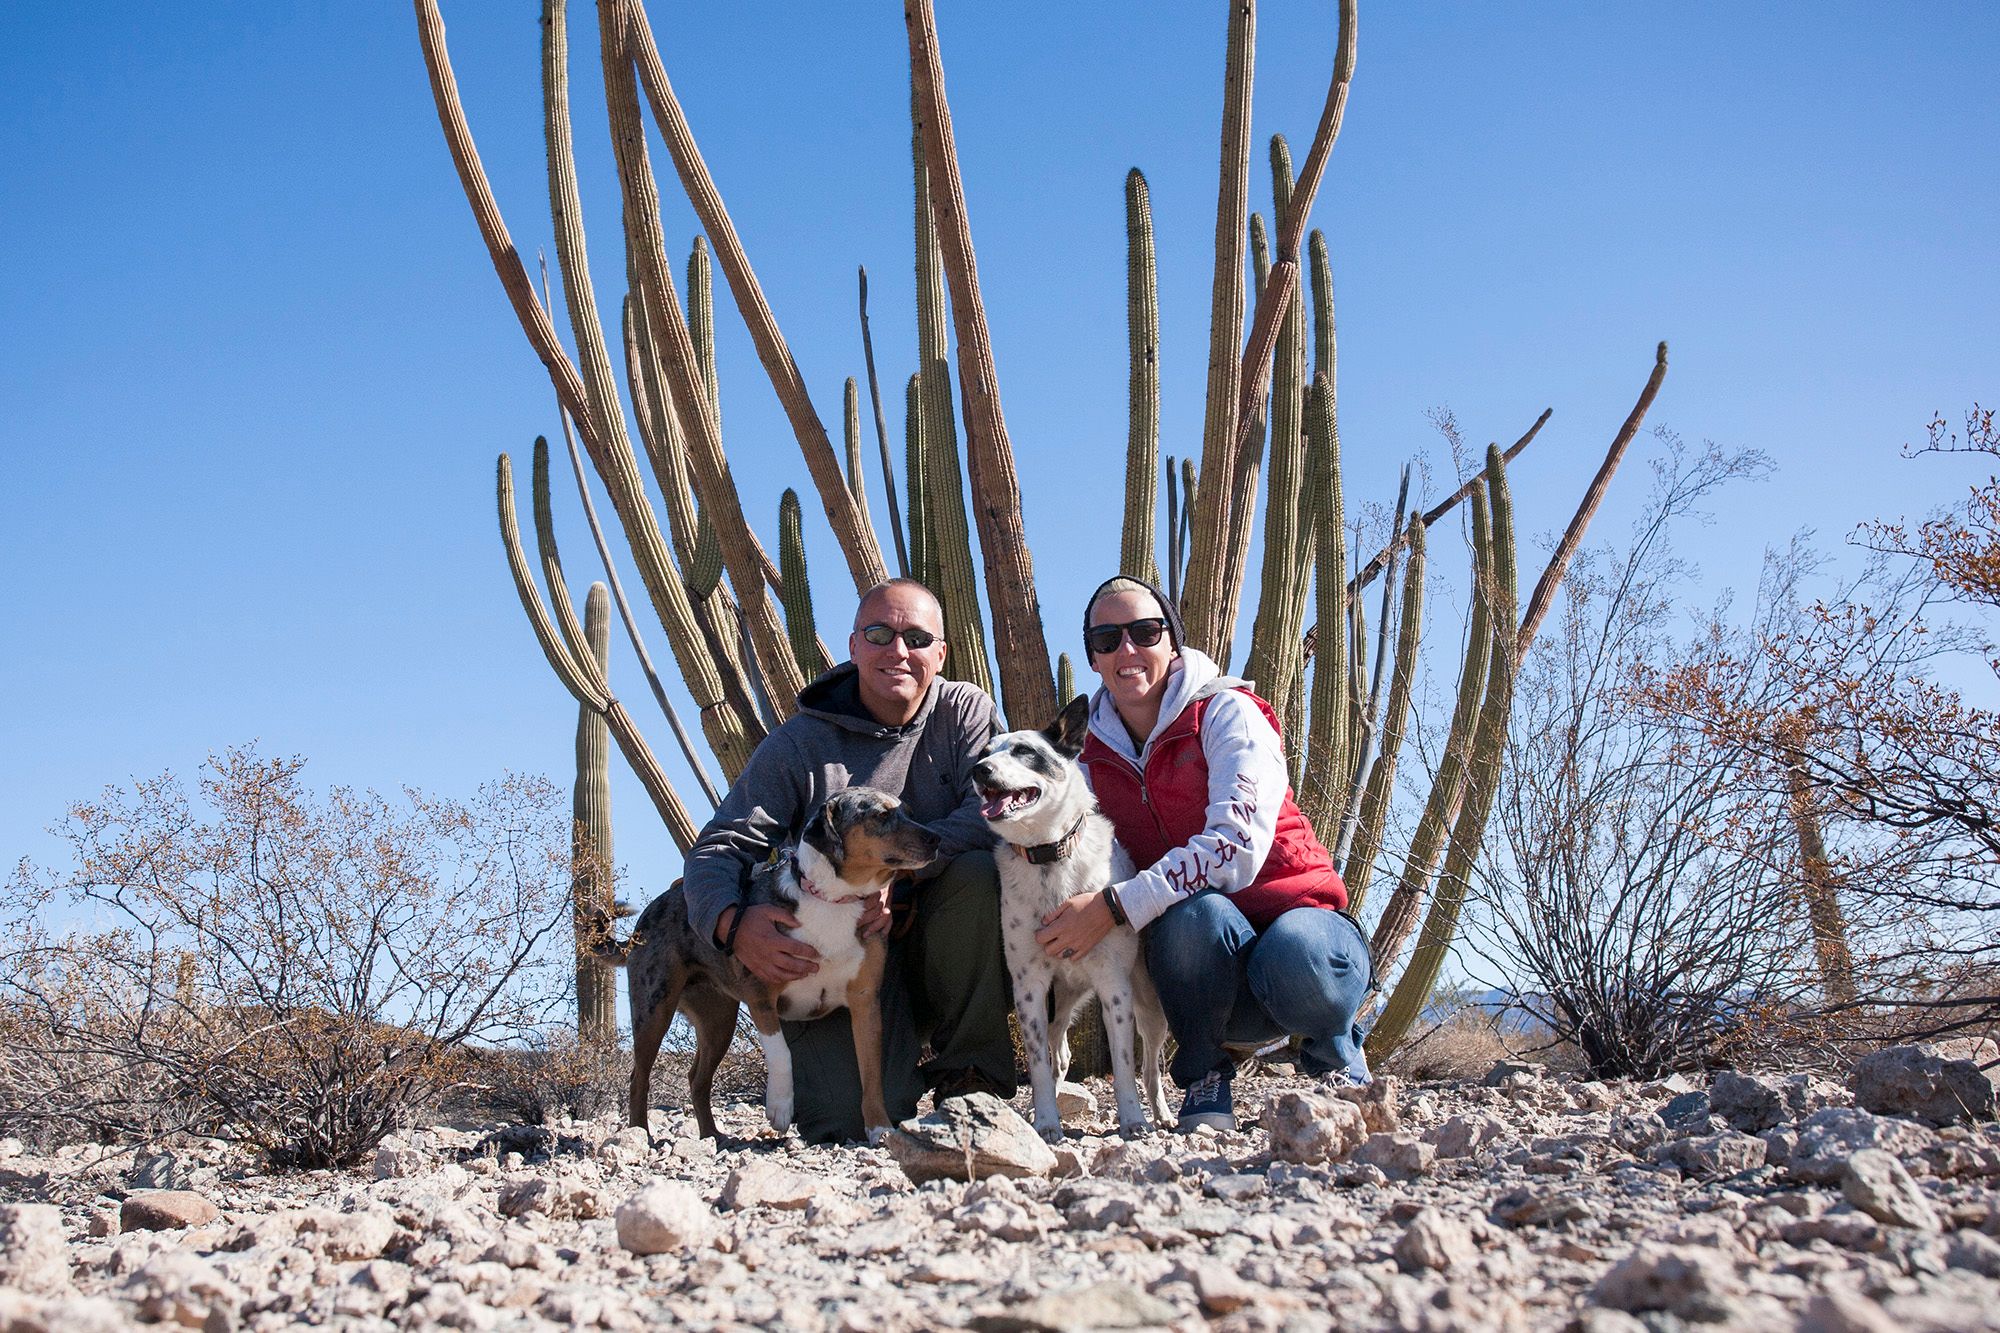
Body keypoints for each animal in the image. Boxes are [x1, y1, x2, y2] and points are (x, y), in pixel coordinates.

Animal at [608, 788, 936, 1144]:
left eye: (909, 812)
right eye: (881, 815)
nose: (935, 839)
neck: (831, 900)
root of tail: (645, 920)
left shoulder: (865, 1005)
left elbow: (873, 1076)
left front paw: (880, 1129)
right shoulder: (762, 996)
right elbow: (781, 1053)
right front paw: (780, 1108)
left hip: (717, 1022)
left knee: (697, 1079)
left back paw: (713, 1136)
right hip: (654, 1012)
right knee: (639, 1078)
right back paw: (640, 1133)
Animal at [972, 688, 1168, 1136]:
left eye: (1025, 751)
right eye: (986, 752)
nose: (978, 770)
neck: (1049, 856)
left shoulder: (1114, 985)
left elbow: (1124, 1065)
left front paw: (1132, 1120)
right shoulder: (1029, 986)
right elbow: (1039, 1065)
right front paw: (1046, 1121)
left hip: (1149, 1003)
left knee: (1150, 1064)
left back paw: (1161, 1114)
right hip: (1058, 999)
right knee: (1057, 1053)